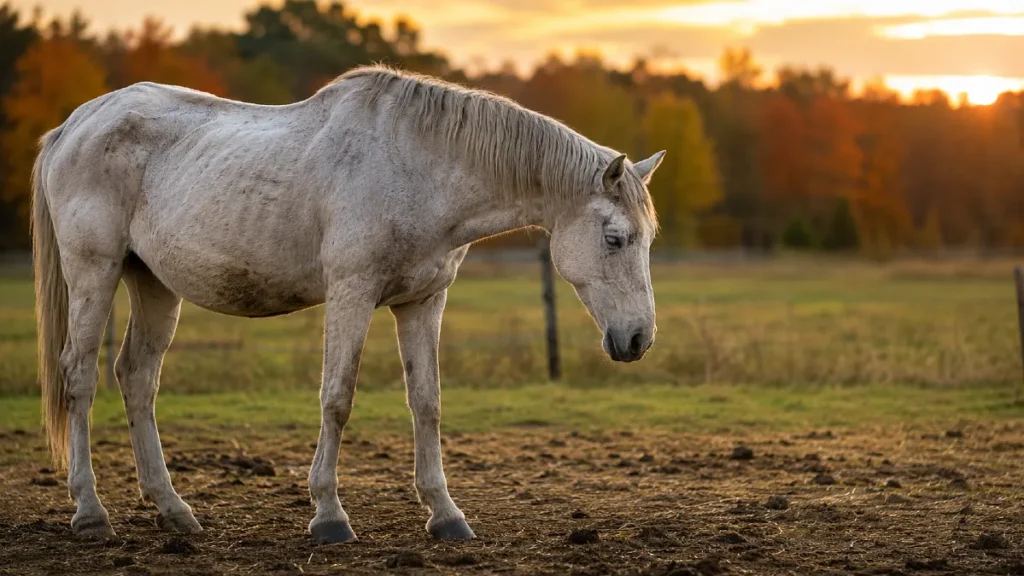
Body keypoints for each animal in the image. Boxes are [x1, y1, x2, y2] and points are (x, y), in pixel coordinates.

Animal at [31, 65, 665, 543]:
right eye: (615, 239)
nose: (638, 340)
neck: (419, 168)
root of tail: (76, 124)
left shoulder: (423, 302)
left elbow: (427, 403)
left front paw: (445, 514)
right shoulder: (351, 292)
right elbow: (337, 398)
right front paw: (329, 516)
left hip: (154, 284)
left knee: (136, 377)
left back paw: (174, 510)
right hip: (95, 271)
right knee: (80, 377)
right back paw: (90, 513)